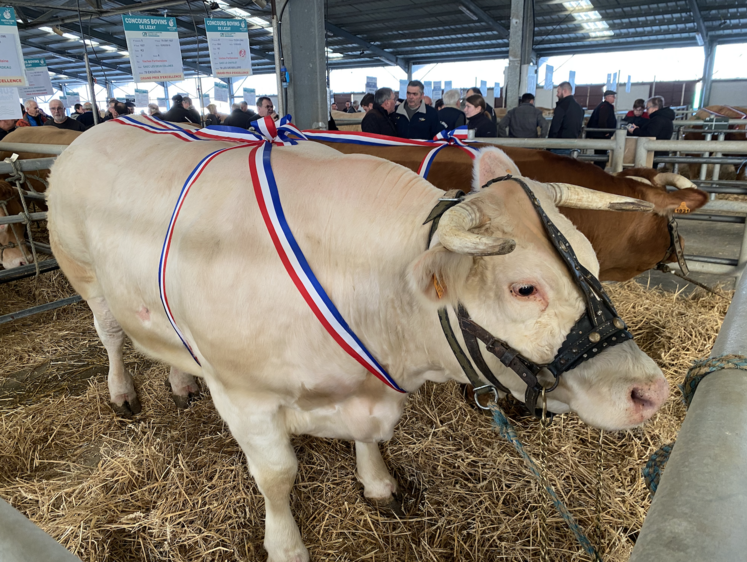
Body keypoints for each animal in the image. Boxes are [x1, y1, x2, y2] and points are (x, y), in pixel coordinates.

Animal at [48, 117, 668, 562]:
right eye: (524, 288)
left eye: (591, 259)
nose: (651, 392)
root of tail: (101, 127)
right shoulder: (245, 394)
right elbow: (276, 476)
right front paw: (286, 545)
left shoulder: (371, 383)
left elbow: (370, 437)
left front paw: (378, 484)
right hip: (83, 274)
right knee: (110, 334)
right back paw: (123, 392)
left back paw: (179, 380)